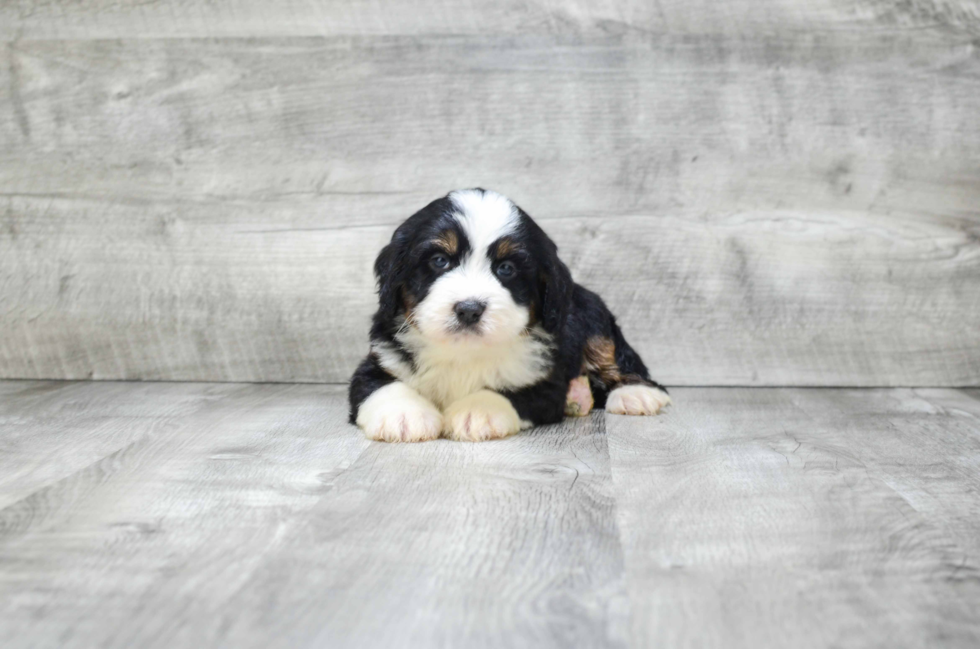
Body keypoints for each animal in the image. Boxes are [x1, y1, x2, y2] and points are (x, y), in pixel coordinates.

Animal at [348, 187, 668, 440]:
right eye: (439, 261)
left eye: (506, 268)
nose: (469, 309)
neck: (463, 353)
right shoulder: (381, 356)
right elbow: (380, 384)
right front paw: (403, 415)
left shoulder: (544, 380)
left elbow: (510, 391)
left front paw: (476, 412)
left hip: (595, 320)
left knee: (619, 361)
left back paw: (636, 394)